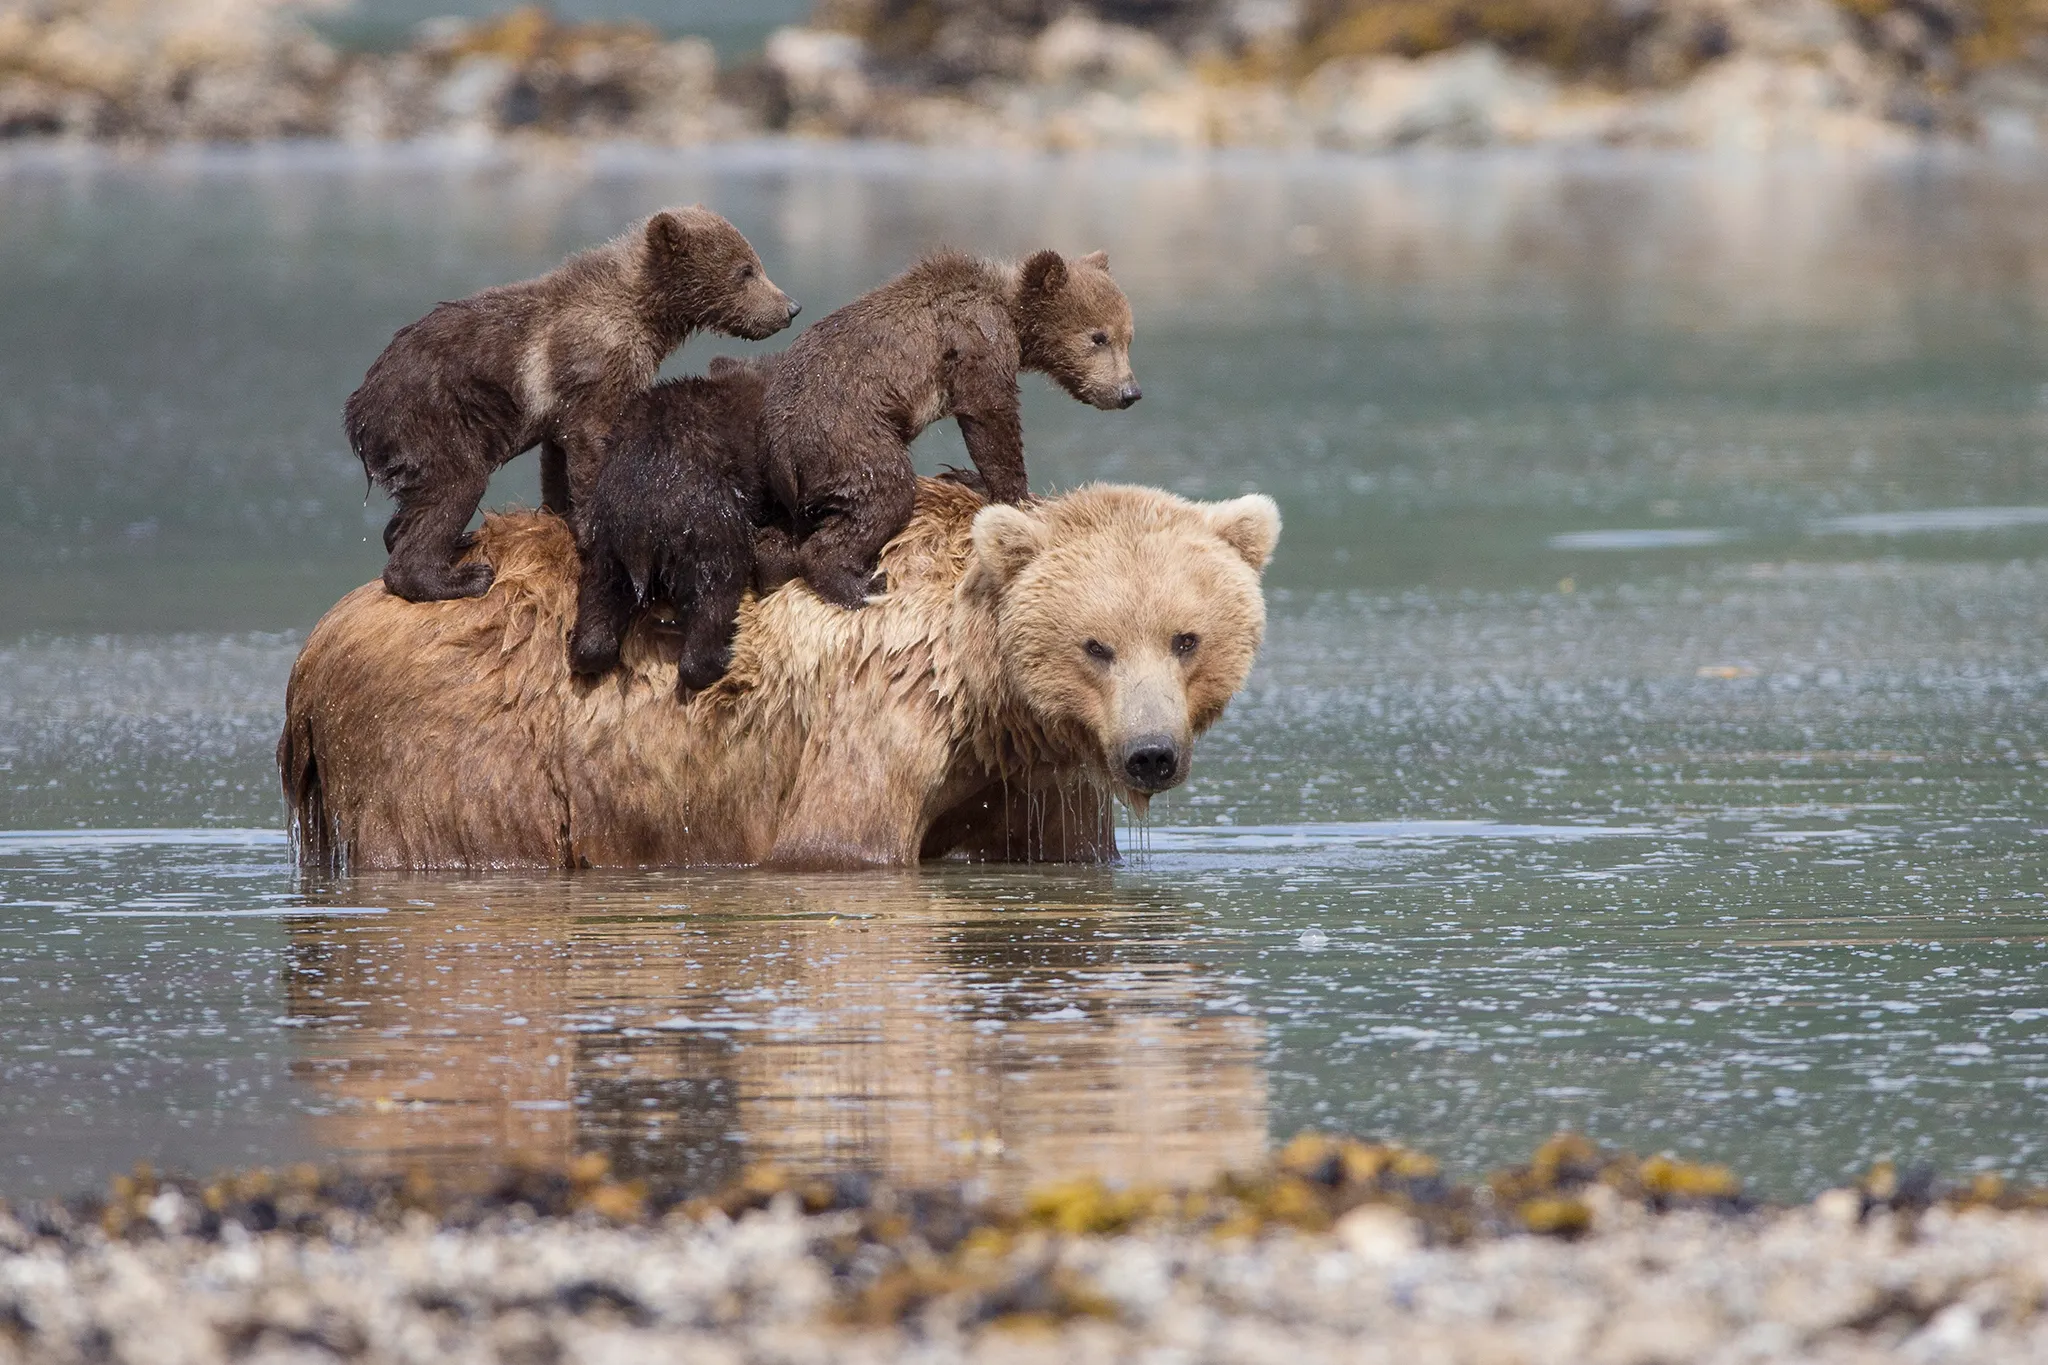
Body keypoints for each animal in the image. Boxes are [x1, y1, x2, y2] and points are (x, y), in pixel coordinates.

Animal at [284, 474, 1277, 871]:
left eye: (1186, 638)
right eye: (1095, 645)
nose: (1151, 753)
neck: (981, 687)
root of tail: (313, 648)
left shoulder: (1033, 775)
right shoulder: (881, 713)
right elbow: (837, 843)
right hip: (460, 739)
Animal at [344, 205, 798, 601]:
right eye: (745, 270)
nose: (790, 307)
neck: (646, 312)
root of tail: (359, 407)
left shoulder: (566, 399)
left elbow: (558, 454)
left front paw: (560, 513)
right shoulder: (596, 363)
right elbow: (590, 441)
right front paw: (594, 529)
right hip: (434, 418)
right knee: (454, 488)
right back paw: (458, 576)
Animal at [765, 246, 1138, 609]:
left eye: (1127, 337)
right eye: (1099, 337)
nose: (1130, 392)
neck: (1012, 317)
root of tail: (779, 451)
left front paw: (969, 478)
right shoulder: (976, 341)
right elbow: (990, 415)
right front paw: (1020, 496)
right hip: (846, 435)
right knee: (883, 492)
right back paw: (858, 586)